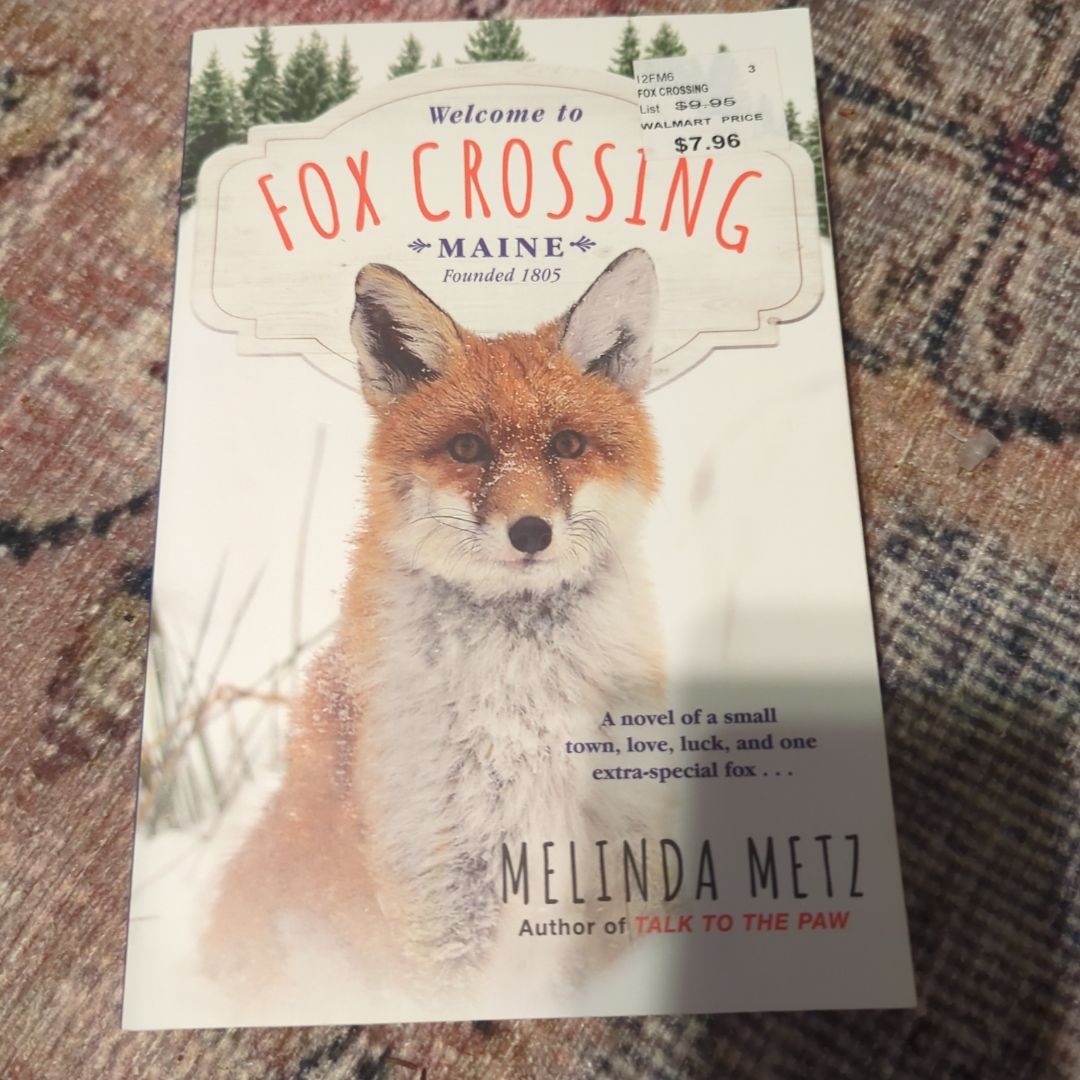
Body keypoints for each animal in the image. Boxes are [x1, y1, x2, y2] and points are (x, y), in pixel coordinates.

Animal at [204, 248, 666, 1005]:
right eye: (468, 448)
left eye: (567, 443)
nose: (531, 532)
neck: (525, 719)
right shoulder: (441, 891)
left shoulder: (625, 856)